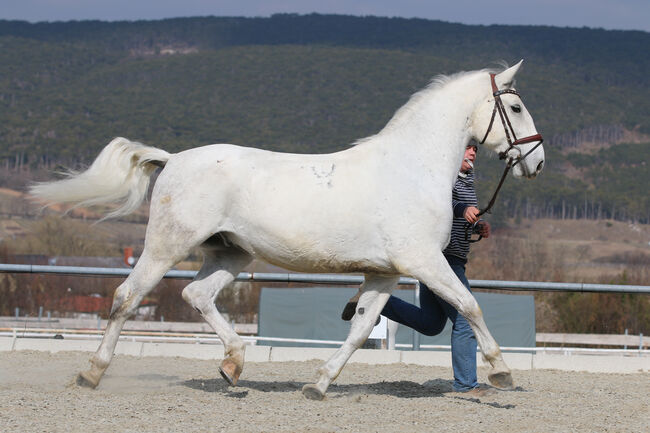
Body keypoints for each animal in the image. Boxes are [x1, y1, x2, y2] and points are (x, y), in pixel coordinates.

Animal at [29, 59, 540, 400]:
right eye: (515, 107)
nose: (535, 161)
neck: (411, 169)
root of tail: (172, 159)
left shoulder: (386, 272)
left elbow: (362, 328)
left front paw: (319, 384)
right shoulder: (423, 261)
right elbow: (469, 305)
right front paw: (502, 372)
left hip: (229, 252)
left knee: (196, 295)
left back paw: (233, 365)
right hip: (167, 245)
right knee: (126, 297)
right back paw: (92, 373)